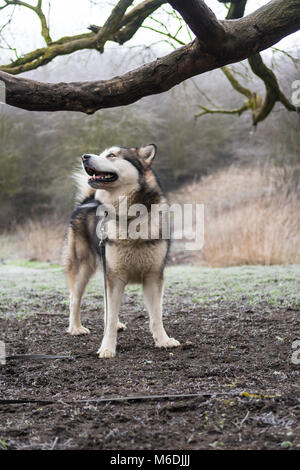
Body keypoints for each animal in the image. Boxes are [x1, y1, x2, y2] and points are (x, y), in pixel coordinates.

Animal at [64, 145, 179, 358]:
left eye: (111, 155)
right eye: (103, 154)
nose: (85, 156)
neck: (131, 218)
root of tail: (87, 201)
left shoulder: (153, 277)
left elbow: (156, 315)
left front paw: (163, 341)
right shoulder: (115, 277)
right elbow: (110, 316)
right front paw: (107, 348)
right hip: (83, 268)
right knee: (75, 299)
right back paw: (75, 328)